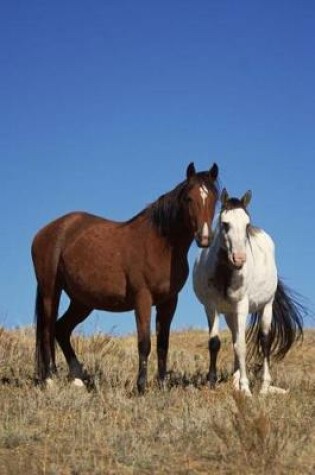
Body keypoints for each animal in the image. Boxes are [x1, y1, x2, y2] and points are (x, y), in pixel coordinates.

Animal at [32, 162, 220, 392]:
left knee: (61, 329)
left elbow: (163, 344)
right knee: (47, 330)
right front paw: (141, 386)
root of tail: (46, 232)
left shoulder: (168, 301)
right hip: (51, 291)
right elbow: (145, 343)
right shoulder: (143, 298)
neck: (159, 244)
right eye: (189, 198)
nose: (205, 238)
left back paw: (77, 378)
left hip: (82, 301)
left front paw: (162, 385)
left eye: (214, 198)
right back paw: (50, 379)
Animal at [194, 188, 304, 396]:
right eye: (225, 224)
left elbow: (242, 346)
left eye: (246, 224)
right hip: (230, 314)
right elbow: (215, 343)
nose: (239, 259)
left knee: (264, 340)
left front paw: (246, 389)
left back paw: (264, 387)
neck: (225, 273)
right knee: (236, 338)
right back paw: (235, 381)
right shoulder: (210, 307)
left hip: (266, 306)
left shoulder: (242, 306)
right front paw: (212, 382)